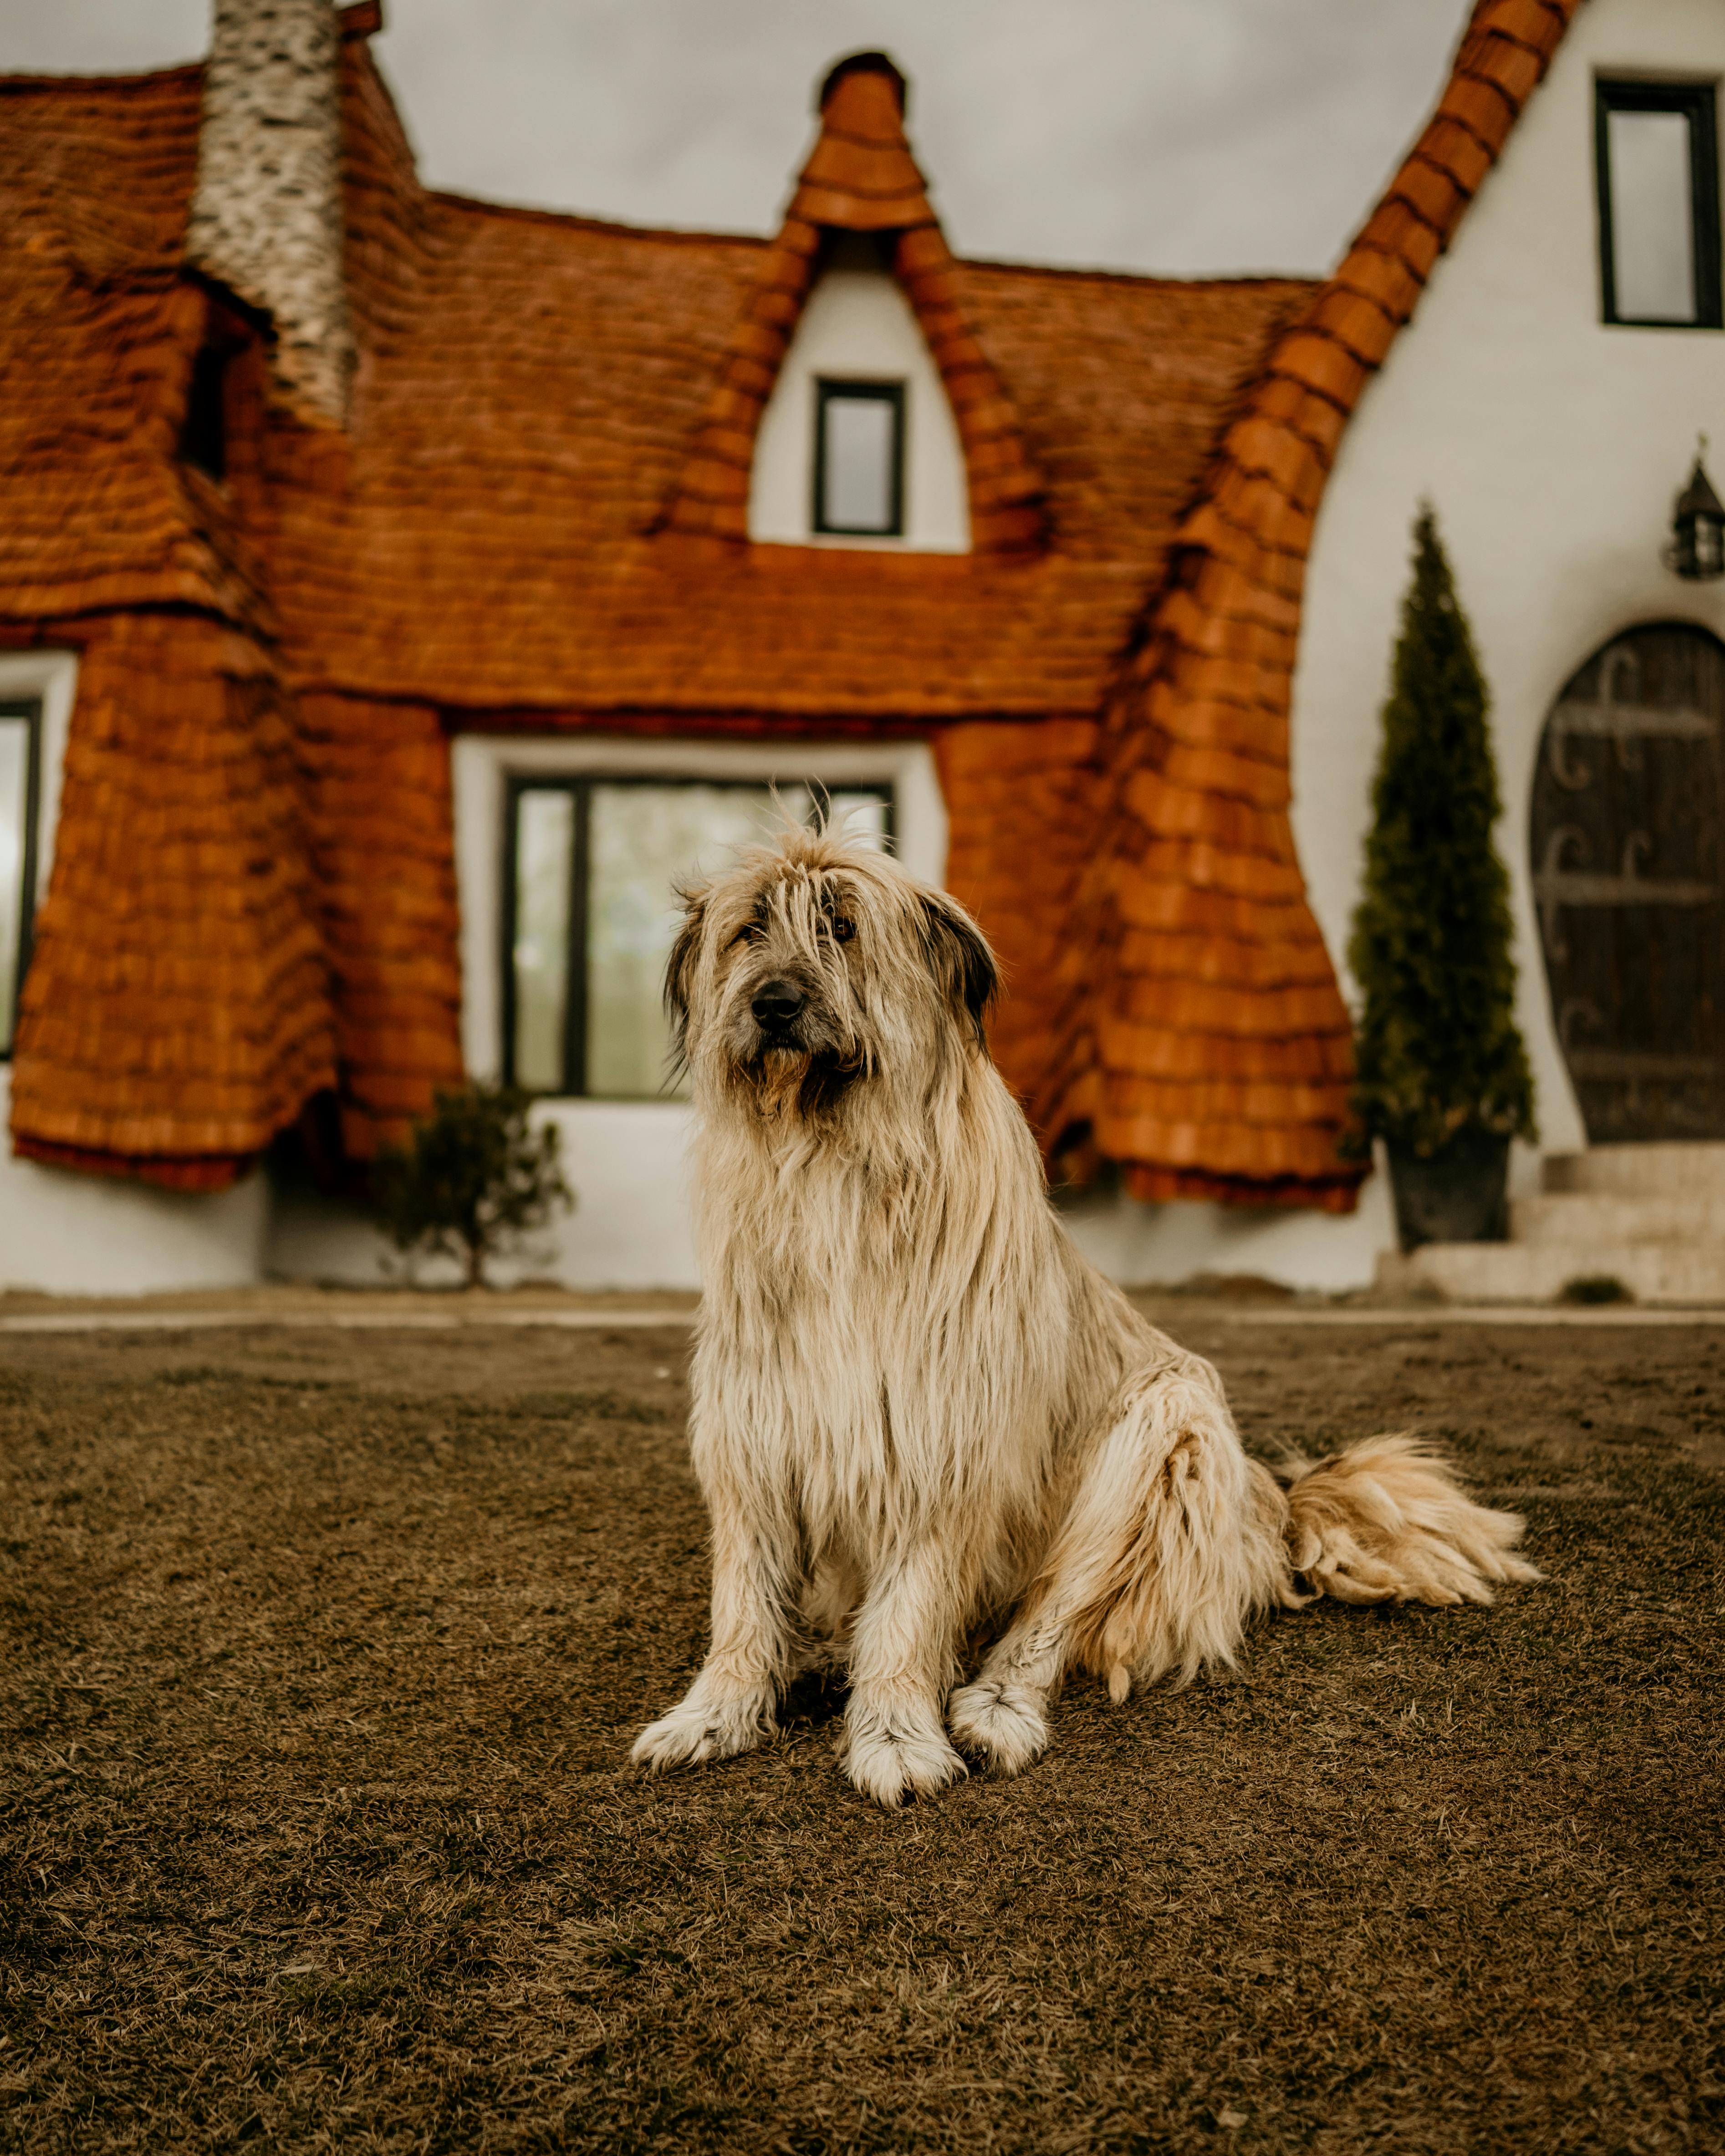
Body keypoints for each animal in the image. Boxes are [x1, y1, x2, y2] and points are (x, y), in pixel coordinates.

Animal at [629, 823, 1535, 1802]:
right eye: (748, 931)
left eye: (841, 926)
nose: (774, 1007)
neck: (832, 1163)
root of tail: (1274, 1507)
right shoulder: (757, 1432)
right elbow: (744, 1605)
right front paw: (714, 1715)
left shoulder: (937, 1443)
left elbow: (912, 1611)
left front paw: (895, 1736)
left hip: (1163, 1434)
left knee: (1048, 1620)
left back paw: (992, 1706)